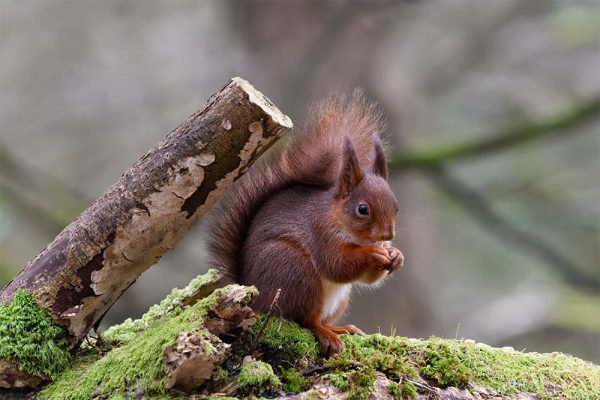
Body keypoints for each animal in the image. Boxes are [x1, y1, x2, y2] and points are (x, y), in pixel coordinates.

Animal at [206, 92, 404, 354]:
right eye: (362, 209)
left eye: (396, 206)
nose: (387, 235)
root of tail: (255, 294)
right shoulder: (321, 234)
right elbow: (337, 264)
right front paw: (373, 253)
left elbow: (367, 278)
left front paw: (395, 255)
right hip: (296, 271)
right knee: (307, 320)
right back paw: (327, 334)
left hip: (337, 298)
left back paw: (341, 328)